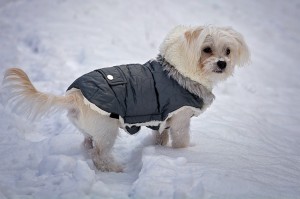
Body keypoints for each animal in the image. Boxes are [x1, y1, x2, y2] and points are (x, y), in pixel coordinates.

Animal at [1, 24, 251, 172]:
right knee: (99, 154)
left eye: (228, 51)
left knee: (87, 144)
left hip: (91, 130)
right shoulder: (180, 119)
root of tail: (75, 95)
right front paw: (185, 154)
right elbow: (181, 141)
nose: (222, 63)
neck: (178, 72)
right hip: (107, 129)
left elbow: (160, 138)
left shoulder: (161, 122)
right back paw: (113, 168)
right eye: (206, 49)